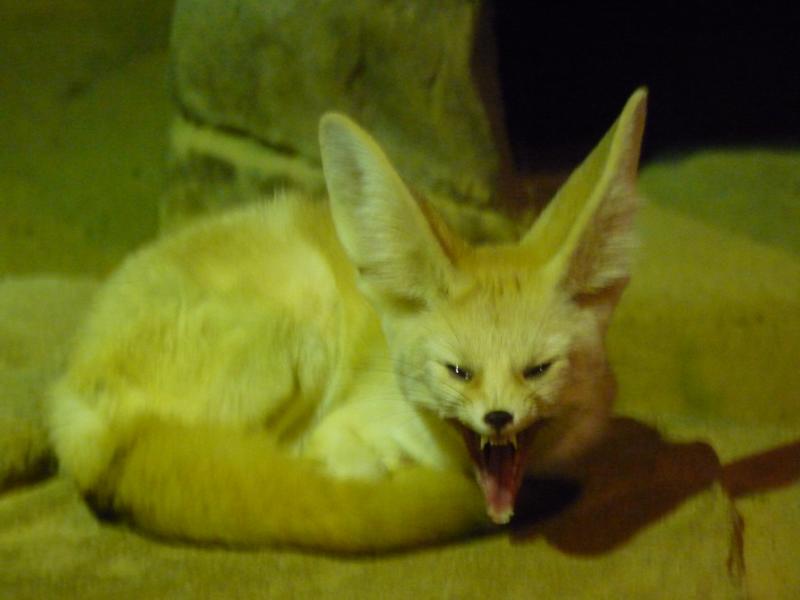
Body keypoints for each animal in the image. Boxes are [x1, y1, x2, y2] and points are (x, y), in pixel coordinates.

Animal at [47, 89, 647, 552]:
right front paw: (372, 468)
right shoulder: (345, 418)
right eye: (458, 371)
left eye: (537, 369)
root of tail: (68, 401)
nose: (498, 418)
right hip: (303, 324)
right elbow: (341, 454)